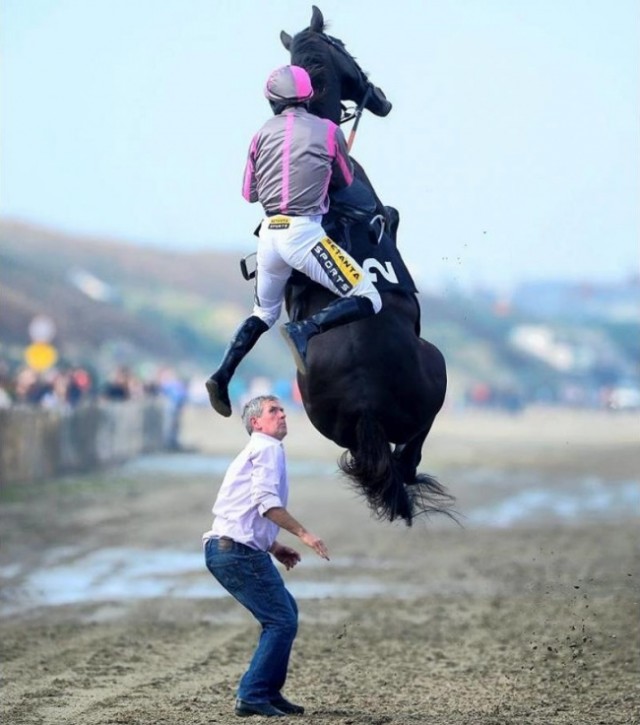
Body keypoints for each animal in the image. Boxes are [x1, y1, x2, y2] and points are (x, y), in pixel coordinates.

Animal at [280, 7, 456, 528]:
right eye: (346, 49)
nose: (380, 98)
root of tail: (365, 402)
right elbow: (392, 215)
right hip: (436, 373)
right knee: (411, 450)